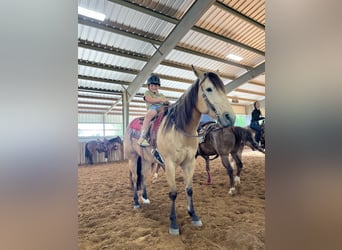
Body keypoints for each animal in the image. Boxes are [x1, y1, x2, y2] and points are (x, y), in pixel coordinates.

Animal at [123, 65, 235, 235]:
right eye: (209, 89)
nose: (230, 117)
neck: (179, 129)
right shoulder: (169, 164)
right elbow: (173, 193)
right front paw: (173, 223)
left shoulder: (189, 162)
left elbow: (189, 189)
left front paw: (194, 215)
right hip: (132, 157)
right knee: (135, 178)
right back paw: (136, 202)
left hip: (147, 159)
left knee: (143, 176)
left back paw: (145, 198)